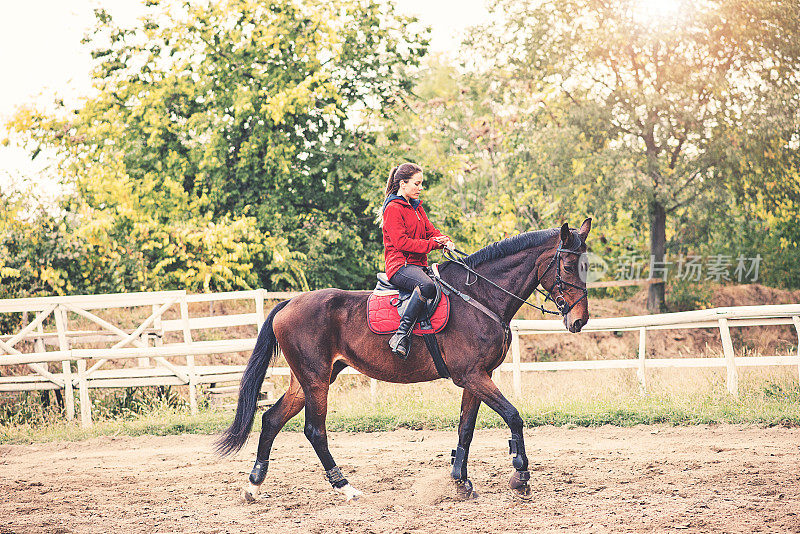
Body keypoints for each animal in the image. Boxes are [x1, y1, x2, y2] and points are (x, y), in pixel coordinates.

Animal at [219, 219, 592, 502]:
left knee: (271, 420)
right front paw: (521, 475)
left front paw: (460, 480)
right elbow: (513, 416)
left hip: (306, 381)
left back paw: (254, 485)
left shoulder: (476, 377)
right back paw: (344, 487)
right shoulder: (473, 376)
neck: (479, 297)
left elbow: (466, 428)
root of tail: (288, 304)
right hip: (316, 380)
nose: (580, 320)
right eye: (568, 266)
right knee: (315, 431)